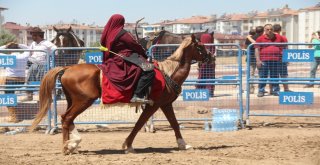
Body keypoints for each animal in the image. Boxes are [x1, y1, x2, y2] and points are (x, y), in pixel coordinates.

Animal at [28, 34, 211, 155]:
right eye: (200, 46)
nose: (210, 56)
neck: (168, 73)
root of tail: (67, 68)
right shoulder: (154, 105)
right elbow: (139, 124)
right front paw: (128, 145)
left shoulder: (165, 104)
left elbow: (174, 123)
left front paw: (183, 144)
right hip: (83, 101)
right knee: (67, 118)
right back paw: (67, 147)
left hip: (73, 100)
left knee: (67, 118)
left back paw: (73, 144)